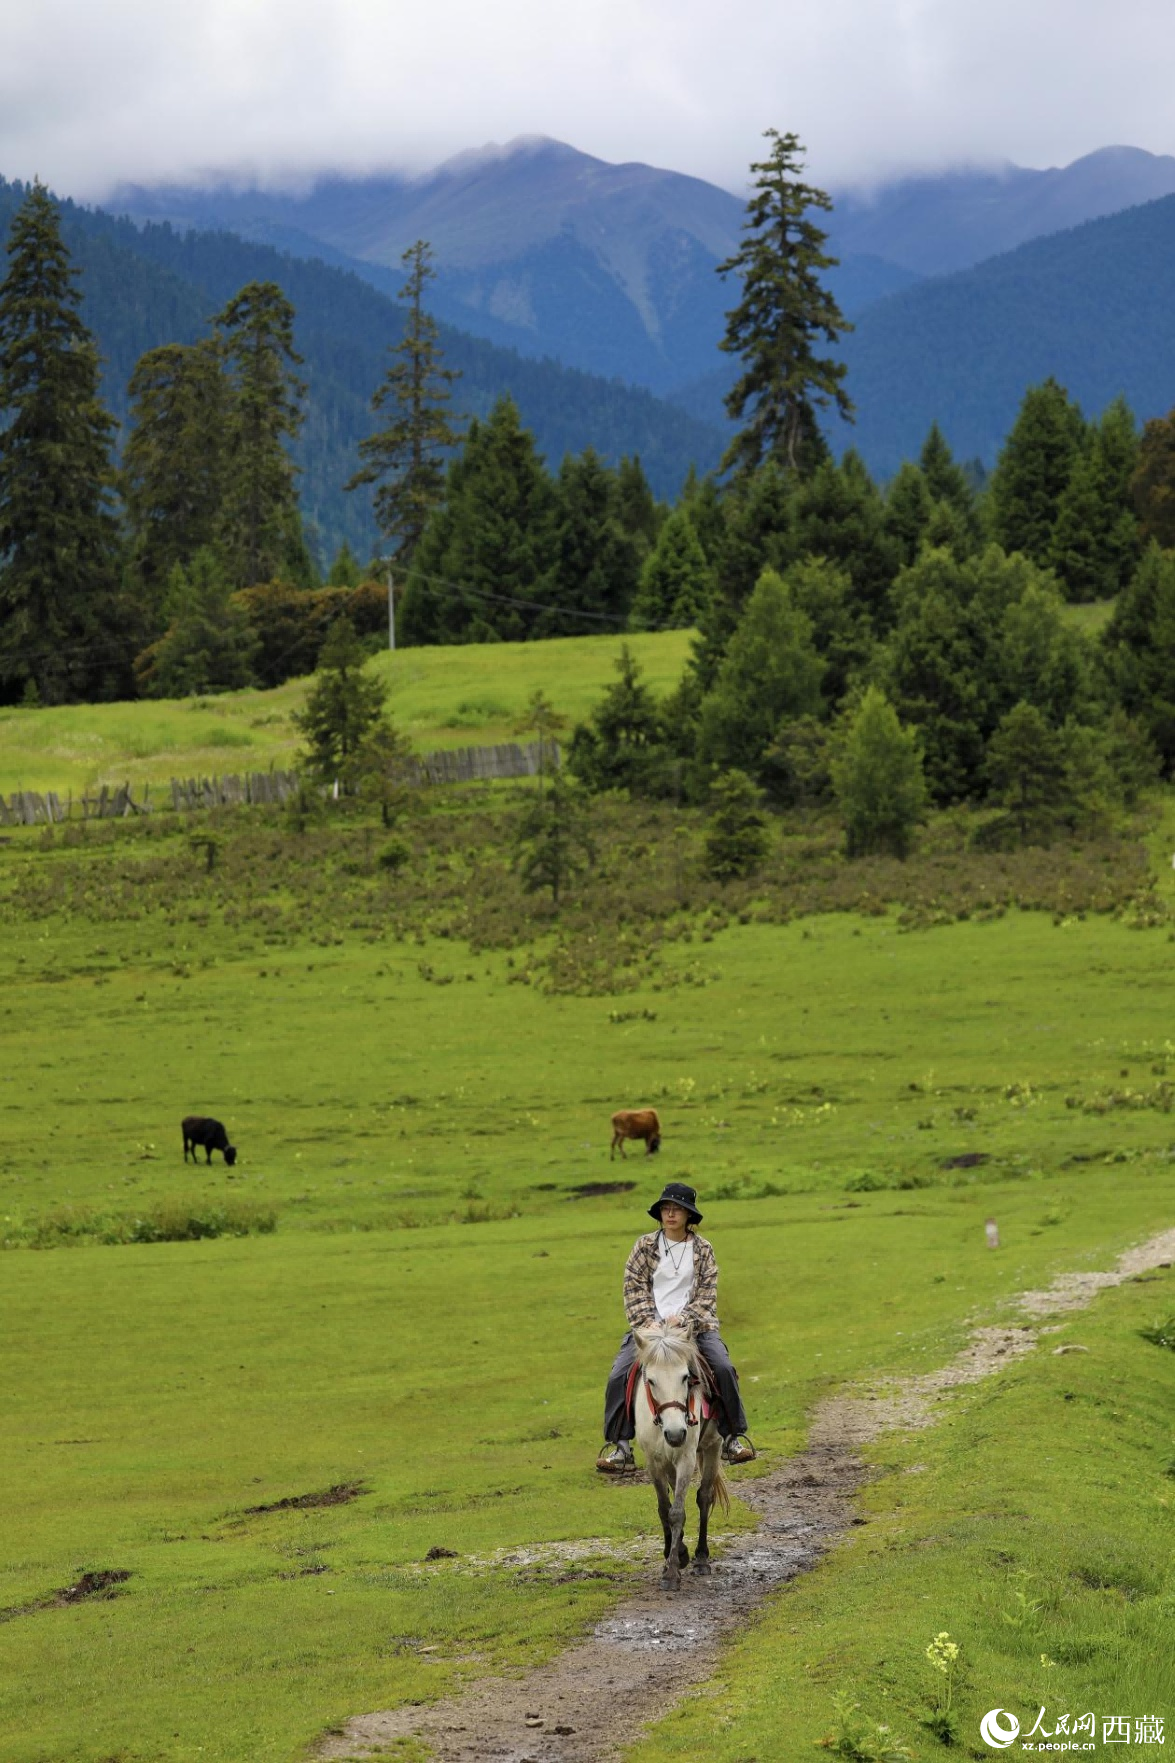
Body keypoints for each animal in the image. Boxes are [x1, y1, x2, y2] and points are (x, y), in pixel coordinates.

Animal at [631, 1325, 723, 1600]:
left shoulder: (686, 1458)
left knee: (705, 1496)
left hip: (713, 1446)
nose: (675, 1434)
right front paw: (675, 1555)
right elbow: (664, 1509)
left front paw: (671, 1573)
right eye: (651, 1380)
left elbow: (677, 1512)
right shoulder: (654, 1462)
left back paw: (701, 1558)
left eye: (685, 1377)